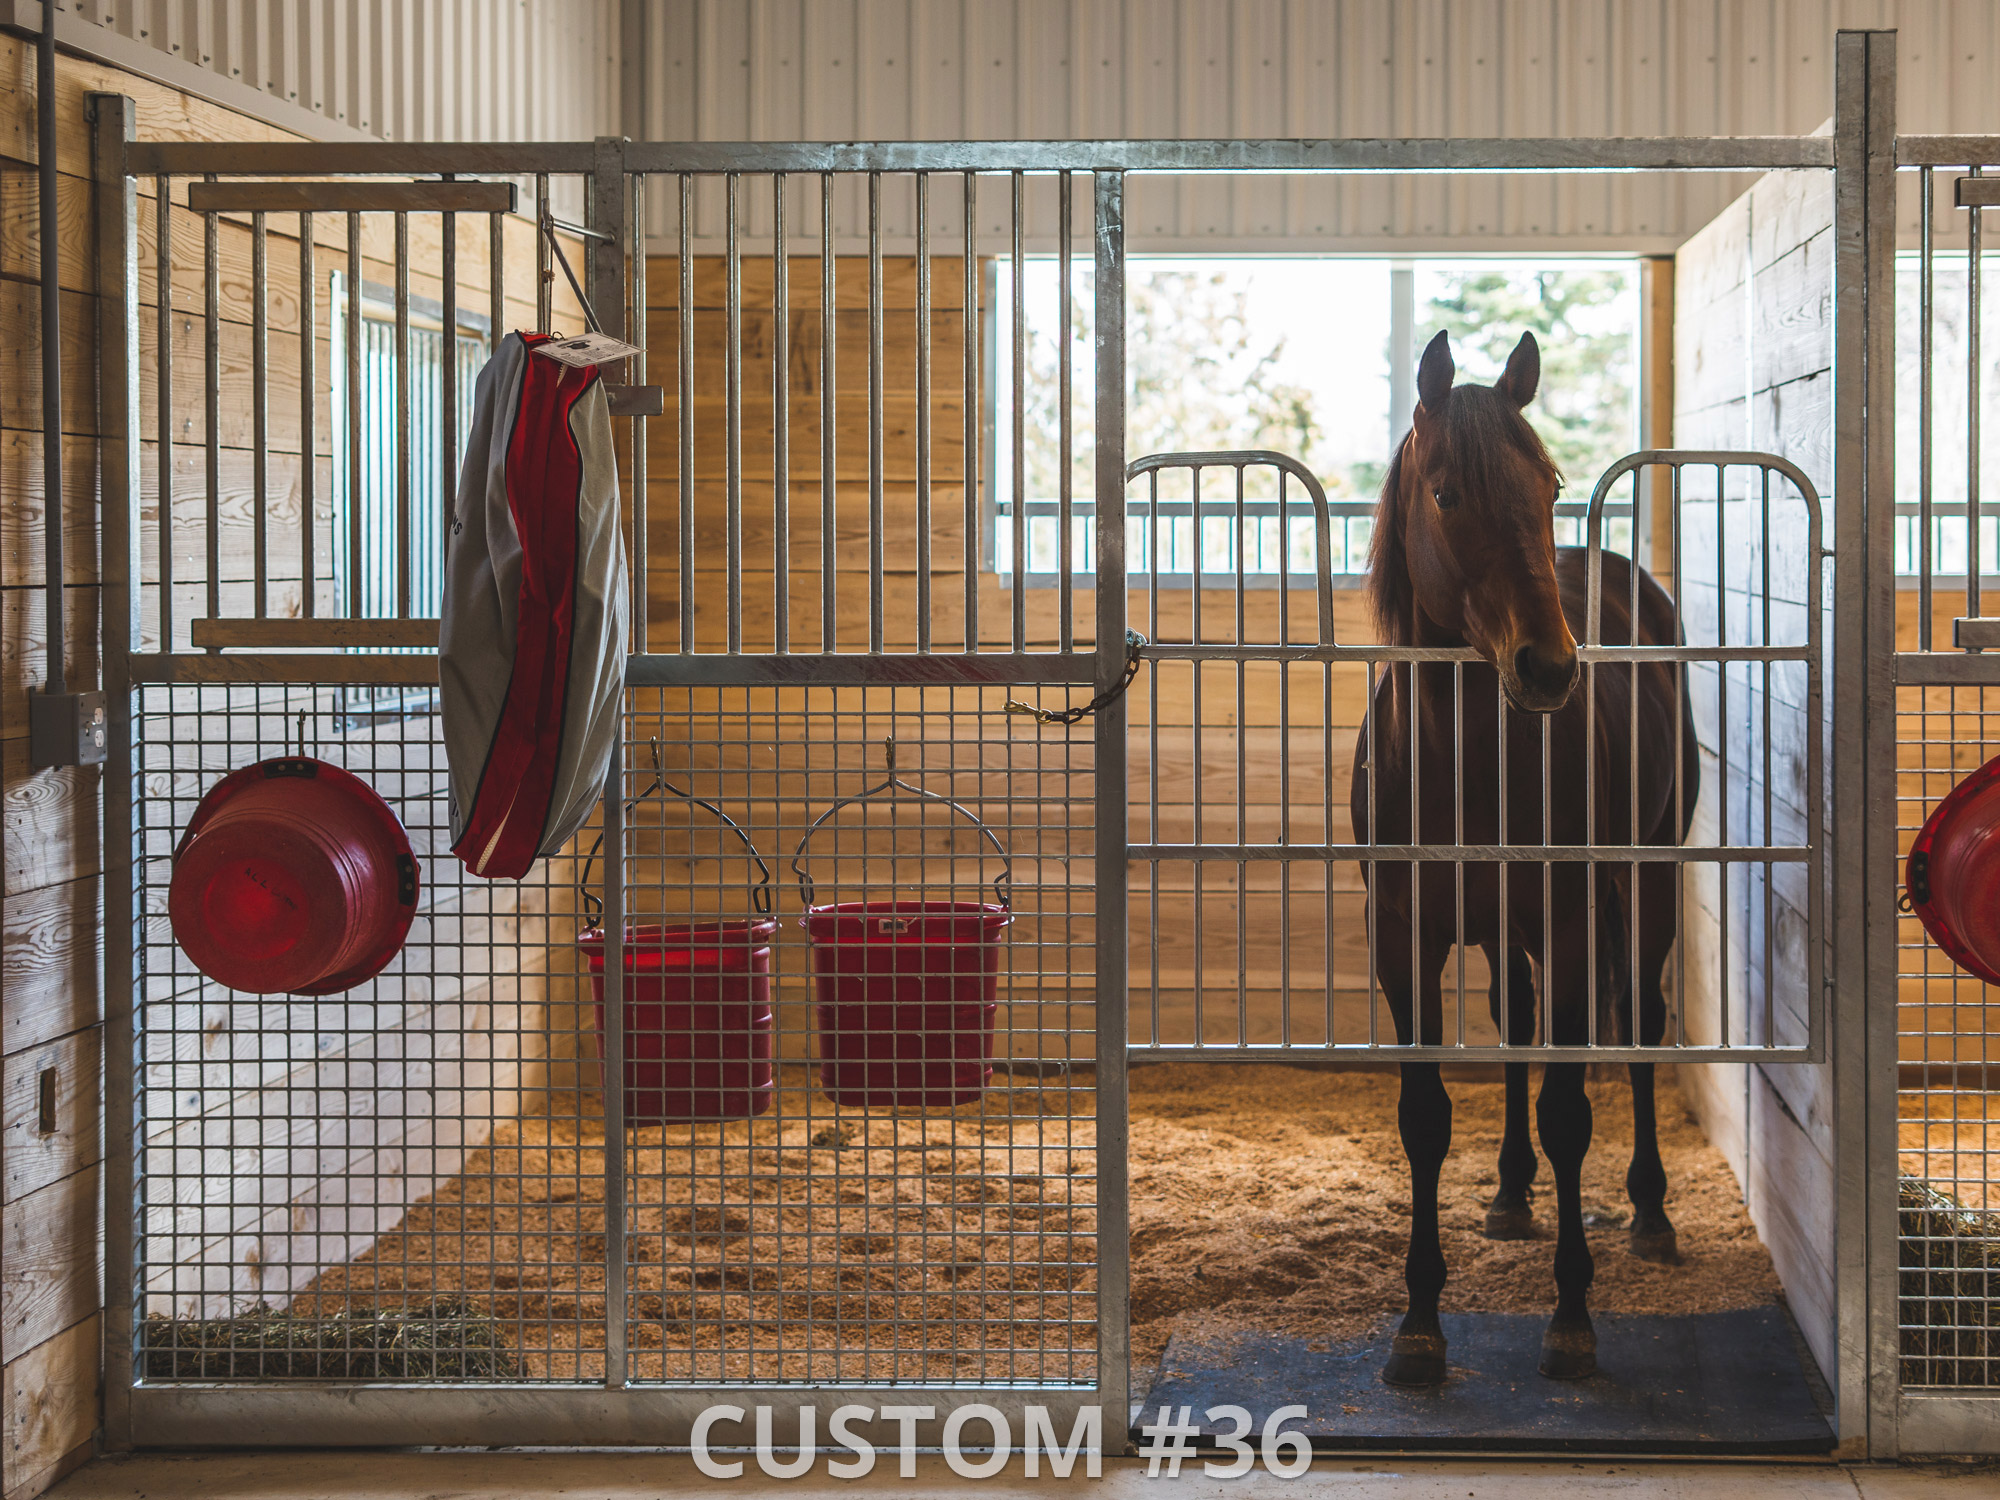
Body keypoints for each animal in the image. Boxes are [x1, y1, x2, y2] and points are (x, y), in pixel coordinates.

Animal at [1348, 329, 1698, 1387]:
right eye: (1446, 493)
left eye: (1549, 485)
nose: (1550, 667)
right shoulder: (1405, 937)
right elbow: (1426, 1116)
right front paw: (1420, 1324)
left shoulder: (1574, 919)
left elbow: (1569, 1108)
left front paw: (1572, 1318)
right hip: (1506, 926)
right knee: (1515, 1021)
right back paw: (1508, 1196)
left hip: (1650, 876)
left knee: (1641, 1021)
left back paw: (1652, 1214)